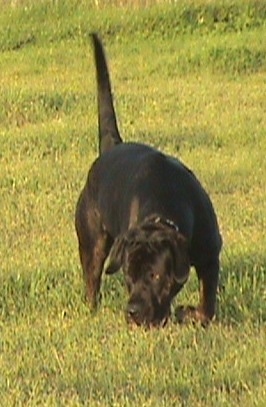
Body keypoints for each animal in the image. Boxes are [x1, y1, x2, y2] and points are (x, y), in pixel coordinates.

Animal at [75, 35, 222, 328]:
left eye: (156, 275)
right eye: (128, 275)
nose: (132, 311)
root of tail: (110, 147)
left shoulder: (211, 253)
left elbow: (207, 305)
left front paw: (191, 314)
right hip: (91, 240)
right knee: (92, 279)